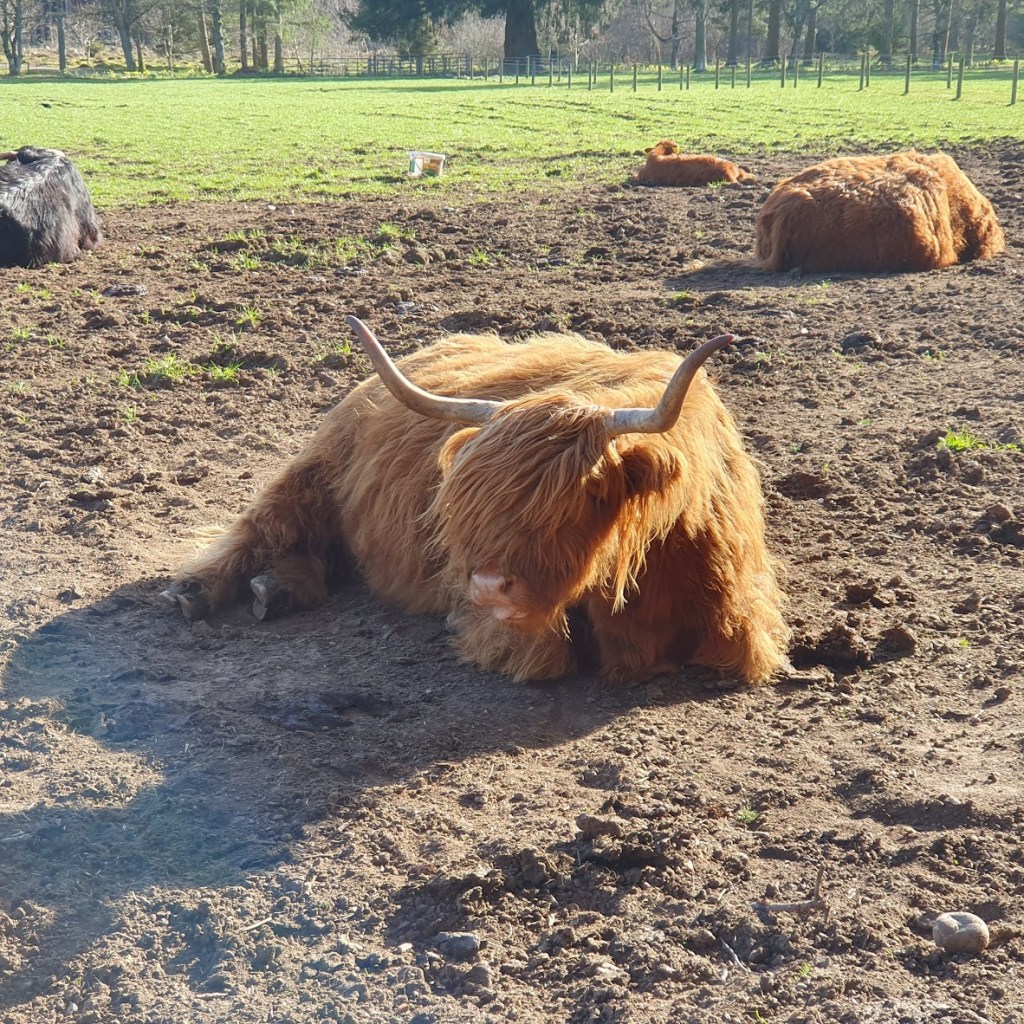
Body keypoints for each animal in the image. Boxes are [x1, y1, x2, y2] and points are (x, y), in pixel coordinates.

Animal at [161, 318, 790, 685]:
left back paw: (276, 588)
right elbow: (545, 661)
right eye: (468, 503)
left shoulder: (741, 620)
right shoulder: (511, 630)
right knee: (266, 523)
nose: (488, 586)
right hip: (317, 466)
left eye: (578, 501)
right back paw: (196, 590)